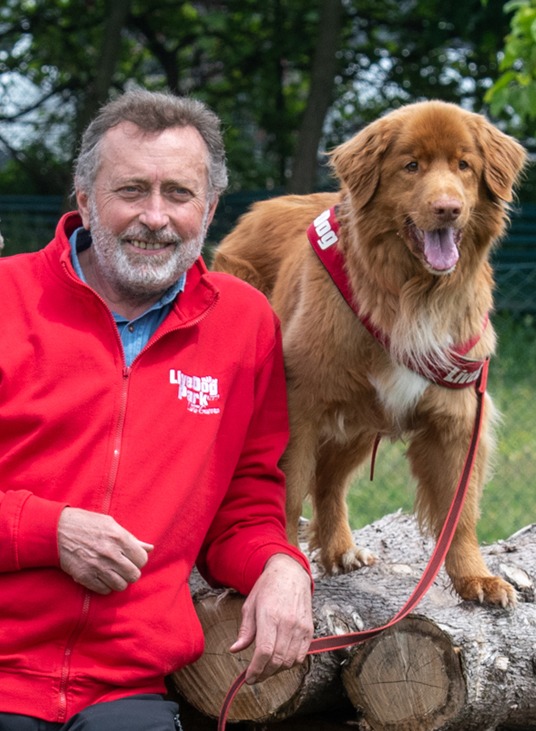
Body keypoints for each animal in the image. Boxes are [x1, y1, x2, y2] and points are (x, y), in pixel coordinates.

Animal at [211, 101, 524, 608]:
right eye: (411, 166)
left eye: (464, 165)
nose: (448, 208)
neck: (413, 295)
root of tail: (258, 208)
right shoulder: (299, 402)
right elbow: (287, 492)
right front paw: (283, 571)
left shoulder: (456, 416)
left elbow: (460, 511)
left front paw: (475, 578)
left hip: (361, 416)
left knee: (330, 480)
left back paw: (340, 550)